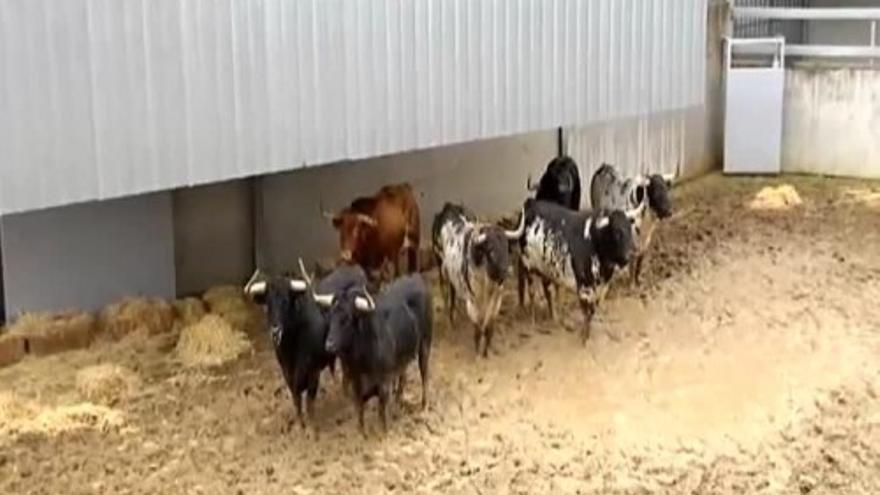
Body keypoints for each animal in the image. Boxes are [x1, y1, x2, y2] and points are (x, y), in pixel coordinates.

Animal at [432, 203, 508, 358]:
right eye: (491, 251)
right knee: (446, 292)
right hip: (441, 266)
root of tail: (448, 207)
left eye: (507, 248)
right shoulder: (473, 301)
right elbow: (478, 327)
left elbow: (489, 327)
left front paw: (486, 351)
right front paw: (478, 352)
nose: (505, 271)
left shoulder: (496, 300)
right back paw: (450, 320)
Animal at [502, 200, 640, 342]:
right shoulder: (584, 287)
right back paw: (533, 319)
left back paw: (555, 318)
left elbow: (592, 310)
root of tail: (531, 202)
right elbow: (588, 311)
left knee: (547, 290)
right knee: (532, 292)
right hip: (528, 264)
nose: (631, 254)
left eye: (630, 229)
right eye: (617, 232)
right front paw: (584, 338)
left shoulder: (599, 288)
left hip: (547, 267)